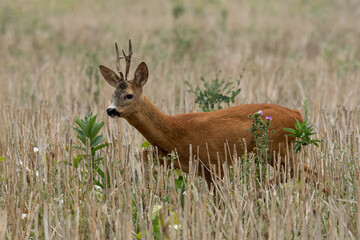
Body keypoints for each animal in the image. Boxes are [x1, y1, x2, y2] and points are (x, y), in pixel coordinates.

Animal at [98, 39, 316, 186]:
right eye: (113, 93)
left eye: (129, 95)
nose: (110, 110)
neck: (174, 132)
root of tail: (297, 115)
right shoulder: (191, 165)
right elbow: (140, 155)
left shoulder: (214, 159)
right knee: (308, 173)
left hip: (276, 146)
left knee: (303, 172)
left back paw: (260, 189)